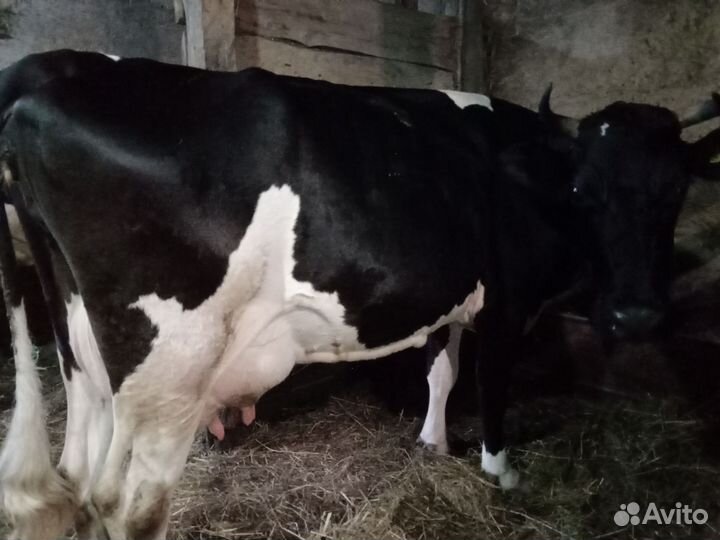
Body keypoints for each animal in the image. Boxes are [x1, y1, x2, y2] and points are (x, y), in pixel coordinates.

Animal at [0, 50, 718, 540]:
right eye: (582, 191)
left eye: (676, 191)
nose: (636, 314)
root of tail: (39, 93)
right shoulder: (507, 305)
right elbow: (491, 388)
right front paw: (500, 475)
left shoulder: (447, 301)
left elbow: (441, 371)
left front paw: (432, 444)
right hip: (170, 364)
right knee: (128, 504)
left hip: (82, 350)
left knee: (78, 472)